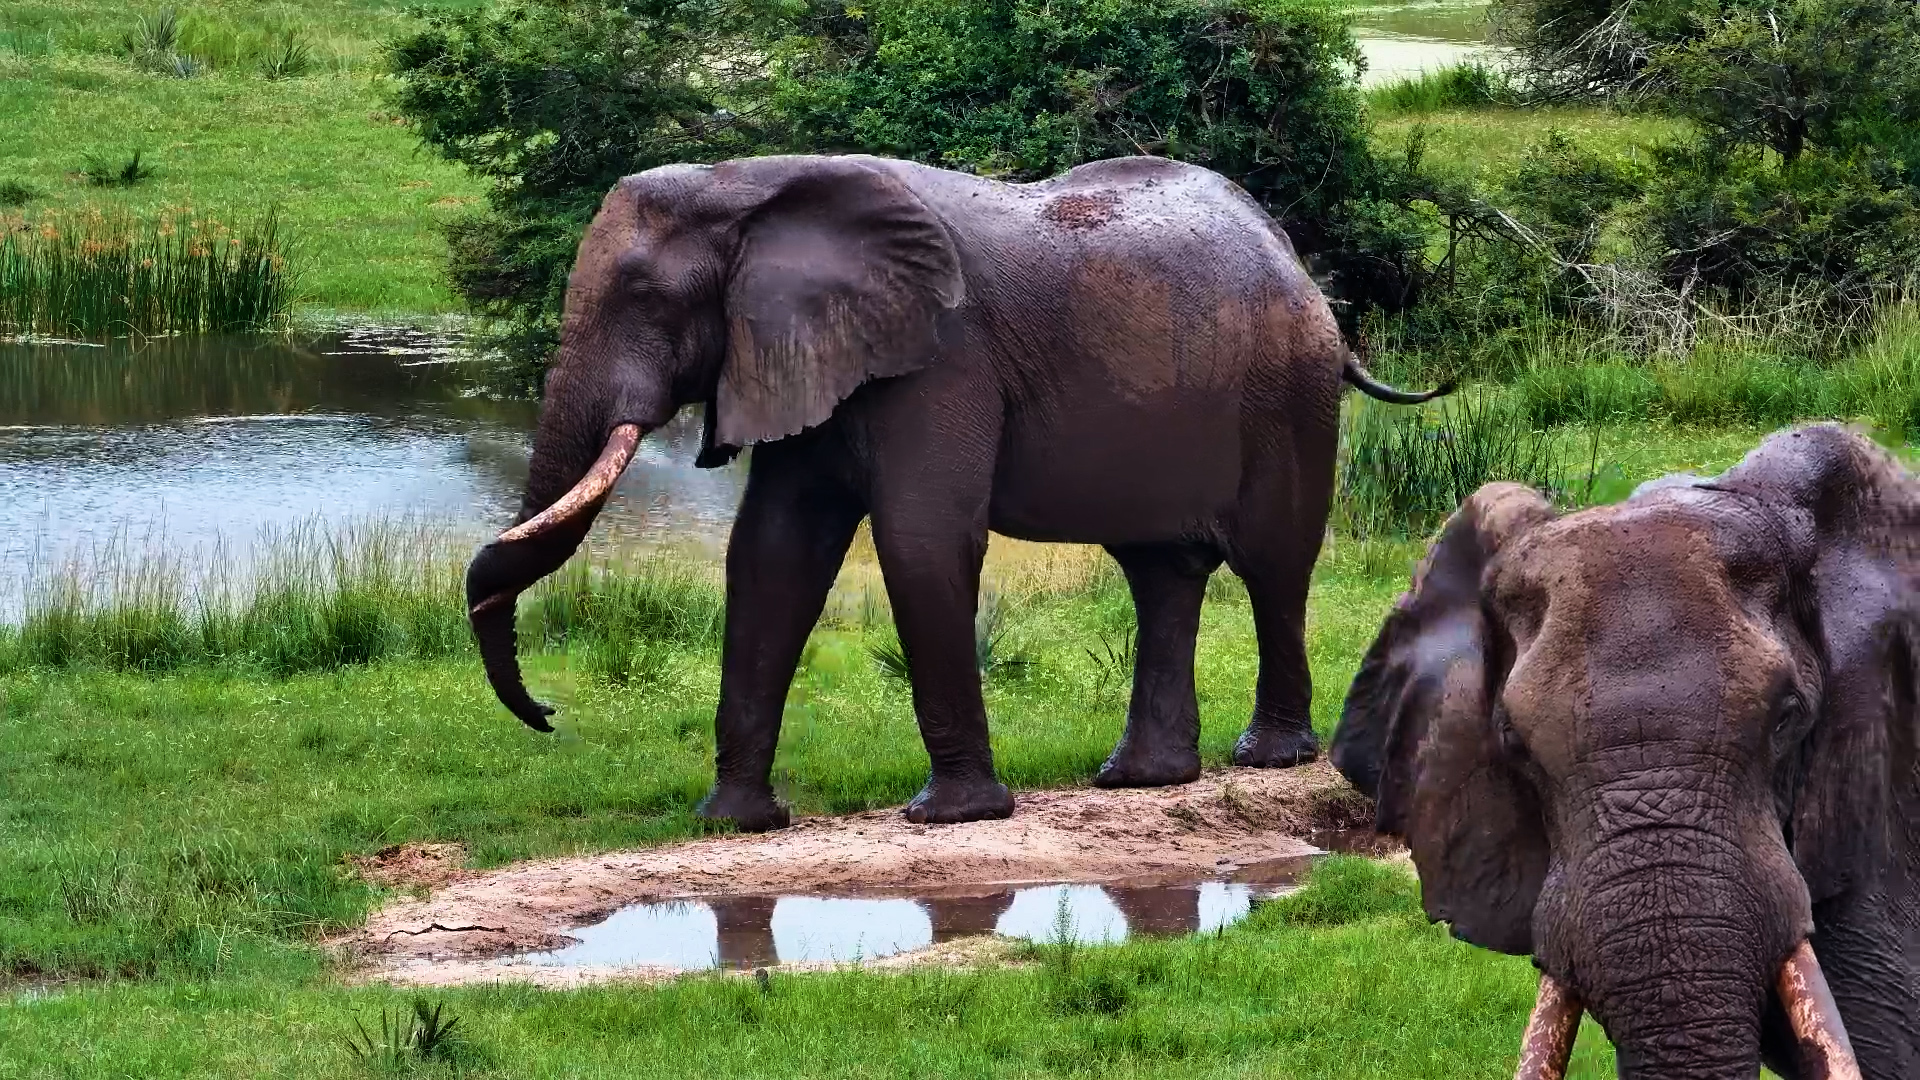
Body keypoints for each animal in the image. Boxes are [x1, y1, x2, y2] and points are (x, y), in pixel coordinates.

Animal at [465, 152, 1446, 832]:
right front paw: (734, 824)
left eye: (642, 296)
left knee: (1274, 564)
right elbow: (774, 554)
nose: (547, 715)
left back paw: (1269, 758)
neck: (750, 184)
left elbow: (921, 540)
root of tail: (1290, 255)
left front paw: (951, 816)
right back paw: (1140, 778)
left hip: (1287, 392)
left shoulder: (940, 360)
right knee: (1160, 570)